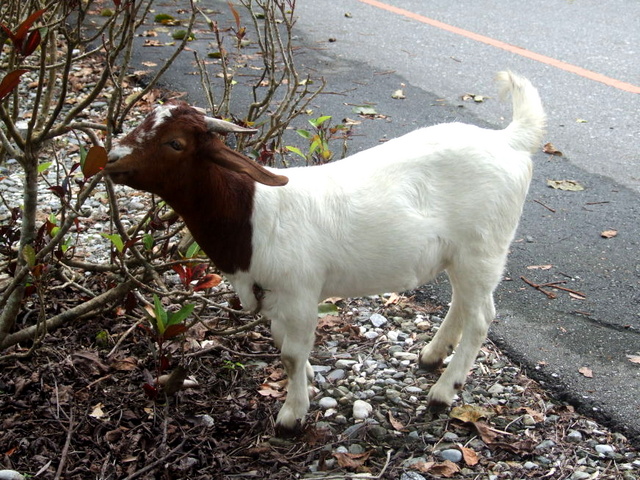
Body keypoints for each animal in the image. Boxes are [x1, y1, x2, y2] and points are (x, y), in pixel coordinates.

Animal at [105, 71, 544, 436]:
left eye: (175, 143)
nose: (110, 159)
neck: (253, 213)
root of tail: (508, 140)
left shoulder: (299, 292)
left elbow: (290, 354)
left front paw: (291, 415)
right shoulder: (275, 296)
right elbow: (283, 344)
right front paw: (308, 381)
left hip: (484, 247)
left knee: (482, 317)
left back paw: (443, 391)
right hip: (461, 253)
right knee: (462, 303)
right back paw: (432, 356)